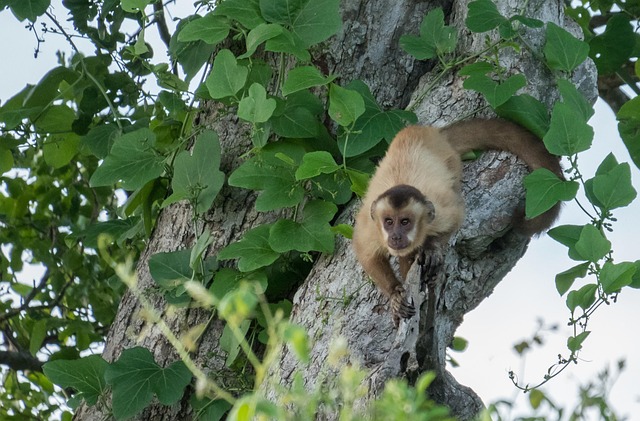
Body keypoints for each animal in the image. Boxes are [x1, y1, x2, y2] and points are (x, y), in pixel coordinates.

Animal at [352, 119, 563, 323]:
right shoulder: (371, 227)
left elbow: (455, 217)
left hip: (451, 161)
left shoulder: (438, 212)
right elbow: (366, 254)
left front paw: (432, 249)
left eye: (405, 222)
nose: (395, 236)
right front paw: (395, 294)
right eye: (388, 221)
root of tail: (431, 133)